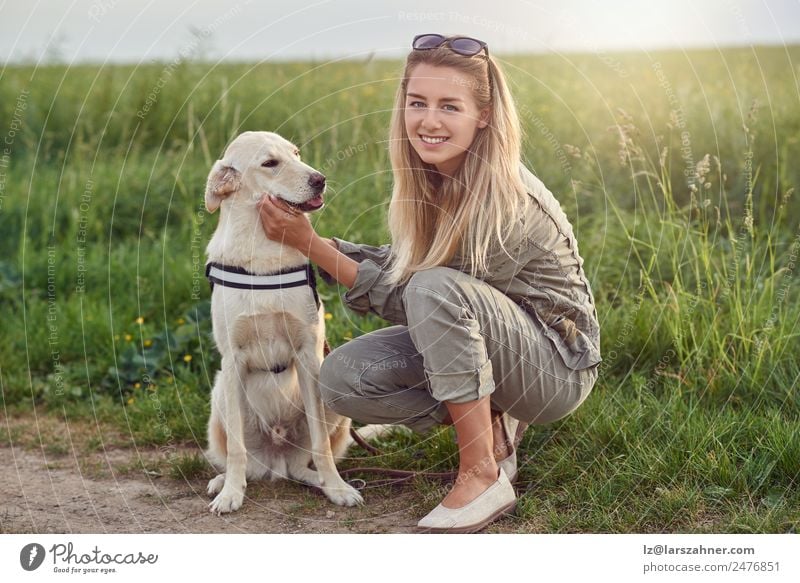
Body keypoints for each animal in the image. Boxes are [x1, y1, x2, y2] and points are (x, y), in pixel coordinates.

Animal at [205, 132, 382, 516]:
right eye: (270, 163)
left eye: (297, 154)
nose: (320, 179)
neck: (263, 250)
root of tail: (277, 461)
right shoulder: (233, 360)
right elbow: (237, 450)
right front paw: (230, 494)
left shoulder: (307, 354)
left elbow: (322, 446)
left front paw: (337, 487)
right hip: (221, 394)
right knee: (241, 459)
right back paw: (223, 482)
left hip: (329, 393)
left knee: (305, 463)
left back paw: (325, 482)